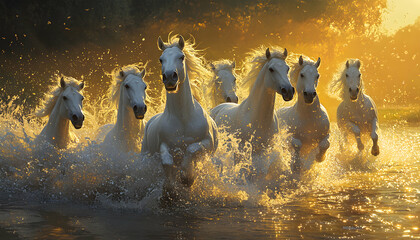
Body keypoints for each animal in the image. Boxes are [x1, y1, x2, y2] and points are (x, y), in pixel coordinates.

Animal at [142, 34, 218, 188]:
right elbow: (167, 161)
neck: (183, 119)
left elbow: (191, 149)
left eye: (181, 57)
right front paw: (170, 186)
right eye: (161, 59)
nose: (170, 77)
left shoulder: (208, 141)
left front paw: (187, 177)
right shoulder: (163, 144)